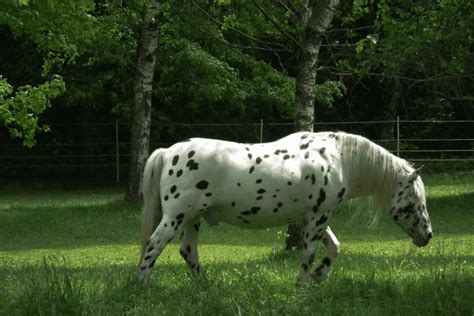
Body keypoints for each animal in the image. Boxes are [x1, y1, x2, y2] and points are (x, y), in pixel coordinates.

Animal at [137, 132, 434, 286]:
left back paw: (206, 287)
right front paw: (304, 283)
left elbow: (334, 247)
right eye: (415, 202)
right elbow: (310, 253)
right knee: (154, 244)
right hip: (176, 217)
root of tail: (169, 151)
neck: (340, 158)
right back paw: (141, 285)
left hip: (191, 219)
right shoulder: (318, 218)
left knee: (188, 252)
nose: (428, 235)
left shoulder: (311, 218)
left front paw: (319, 275)